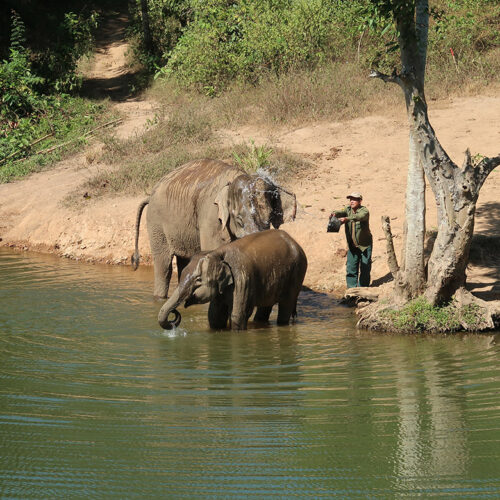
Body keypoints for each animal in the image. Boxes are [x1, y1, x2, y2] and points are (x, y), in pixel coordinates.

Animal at [133, 159, 296, 296]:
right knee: (164, 266)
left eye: (269, 218)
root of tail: (150, 195)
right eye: (239, 220)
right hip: (156, 222)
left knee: (183, 263)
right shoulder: (210, 216)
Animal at [159, 230, 308, 332]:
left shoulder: (243, 279)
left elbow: (238, 316)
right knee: (265, 307)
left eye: (198, 280)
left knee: (286, 305)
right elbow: (214, 317)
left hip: (297, 273)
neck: (217, 252)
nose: (174, 312)